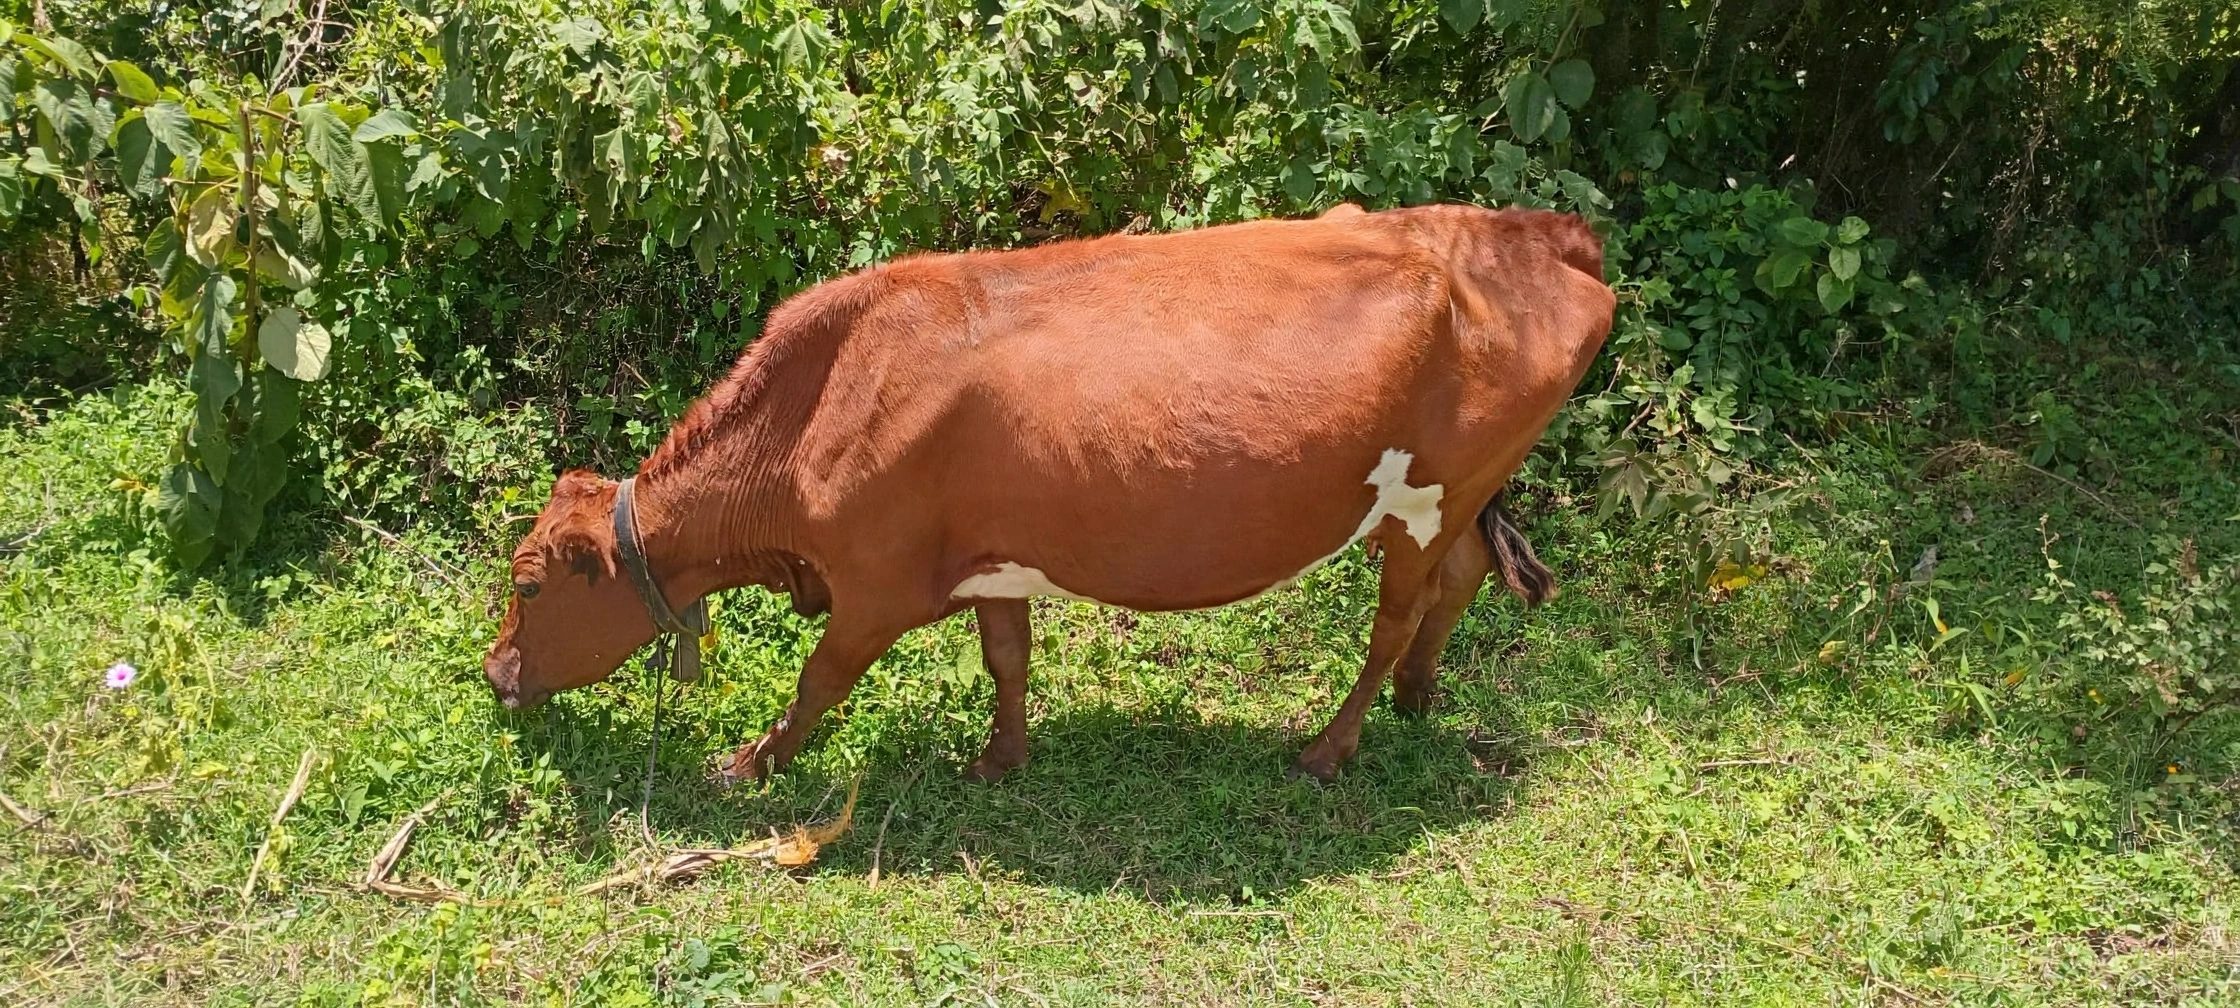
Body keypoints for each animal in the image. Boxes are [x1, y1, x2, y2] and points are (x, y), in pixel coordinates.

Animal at [483, 202, 1614, 782]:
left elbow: (818, 681)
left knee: (1394, 617)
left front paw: (747, 763)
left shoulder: (876, 586)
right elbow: (1007, 660)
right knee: (1459, 580)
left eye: (529, 584)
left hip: (1428, 497)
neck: (825, 399)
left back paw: (1329, 748)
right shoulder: (991, 561)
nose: (494, 673)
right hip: (1448, 495)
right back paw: (1419, 700)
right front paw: (1001, 760)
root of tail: (1532, 230)